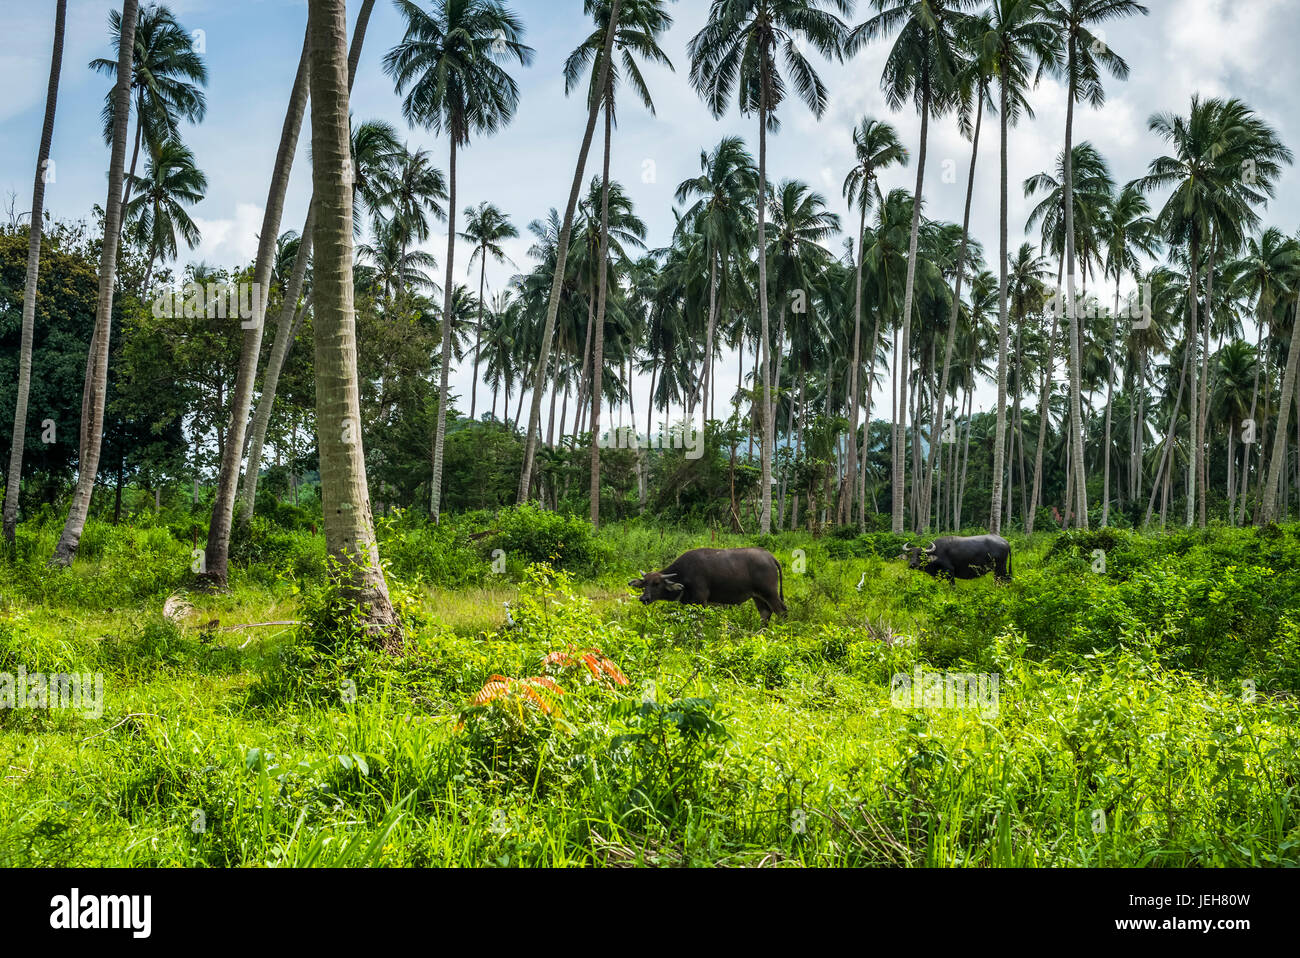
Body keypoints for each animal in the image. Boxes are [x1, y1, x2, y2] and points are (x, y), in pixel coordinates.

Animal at [626, 548, 780, 623]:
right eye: (644, 583)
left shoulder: (701, 601)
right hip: (757, 596)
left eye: (656, 583)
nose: (644, 598)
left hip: (770, 593)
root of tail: (770, 557)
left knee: (781, 611)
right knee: (765, 613)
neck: (685, 573)